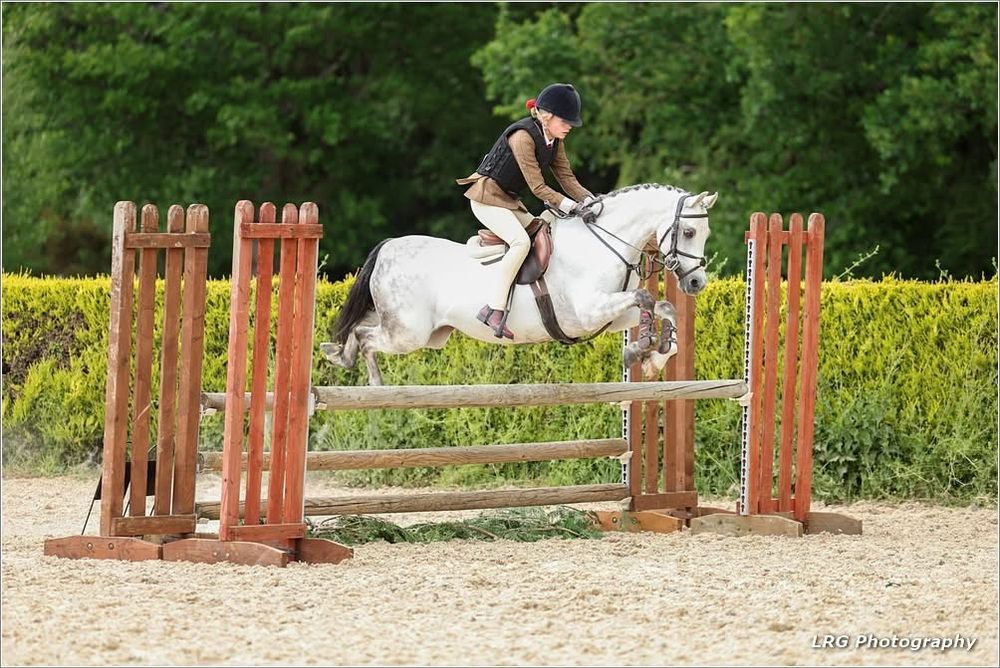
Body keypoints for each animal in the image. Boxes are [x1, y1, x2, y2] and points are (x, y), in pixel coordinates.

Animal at [321, 184, 717, 385]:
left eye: (704, 233)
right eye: (689, 231)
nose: (697, 282)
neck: (604, 241)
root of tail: (389, 247)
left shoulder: (611, 316)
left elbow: (662, 306)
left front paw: (654, 355)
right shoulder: (587, 311)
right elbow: (645, 297)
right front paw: (641, 350)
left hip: (423, 331)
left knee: (359, 328)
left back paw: (338, 355)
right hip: (409, 332)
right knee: (366, 337)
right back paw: (374, 385)